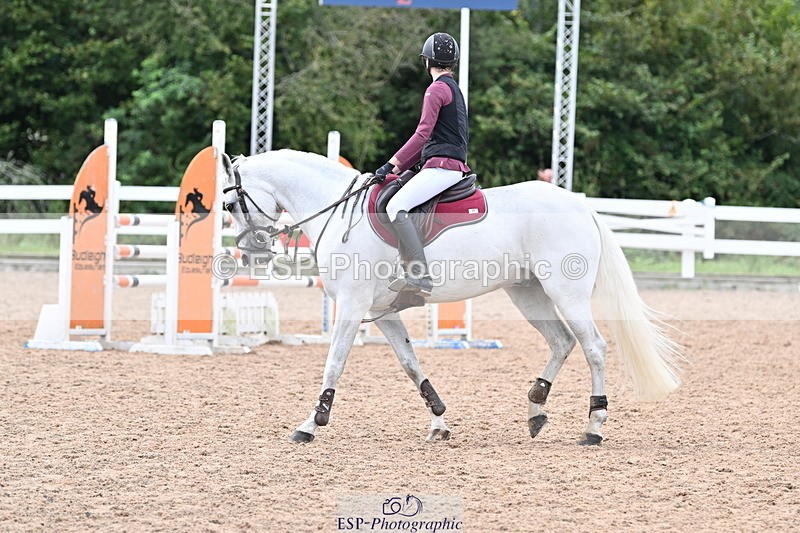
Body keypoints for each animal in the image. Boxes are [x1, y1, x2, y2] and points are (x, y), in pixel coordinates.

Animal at [222, 149, 683, 445]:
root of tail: (581, 205)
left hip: (566, 293)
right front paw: (438, 422)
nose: (253, 254)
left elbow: (333, 364)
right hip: (527, 293)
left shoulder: (352, 307)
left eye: (230, 206)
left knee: (594, 347)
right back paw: (535, 410)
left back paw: (593, 426)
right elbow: (411, 364)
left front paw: (311, 424)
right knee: (561, 342)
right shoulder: (381, 311)